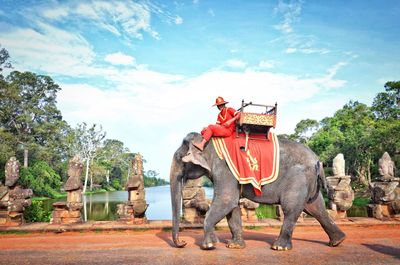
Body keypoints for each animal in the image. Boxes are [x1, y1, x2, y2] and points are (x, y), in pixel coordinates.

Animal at [170, 132, 346, 250]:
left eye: (180, 160)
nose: (183, 243)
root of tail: (318, 160)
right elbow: (232, 207)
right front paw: (234, 246)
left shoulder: (225, 169)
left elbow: (226, 200)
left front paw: (209, 246)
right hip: (310, 184)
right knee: (316, 208)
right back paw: (337, 241)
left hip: (298, 180)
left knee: (291, 208)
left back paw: (279, 247)